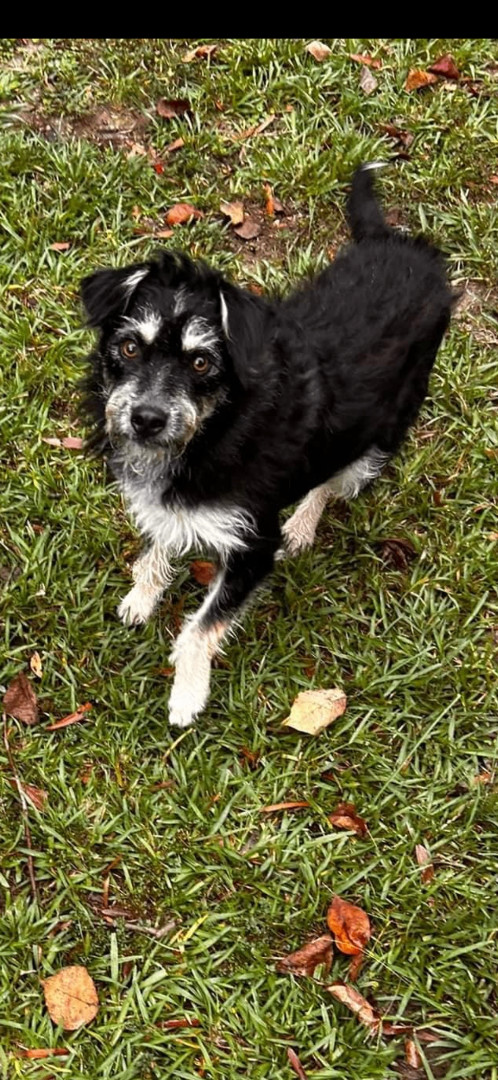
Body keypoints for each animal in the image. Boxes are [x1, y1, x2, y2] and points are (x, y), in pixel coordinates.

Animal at [81, 166, 453, 725]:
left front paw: (187, 695)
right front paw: (143, 595)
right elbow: (158, 544)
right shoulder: (168, 503)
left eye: (201, 362)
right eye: (128, 347)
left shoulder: (254, 544)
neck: (215, 429)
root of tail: (400, 243)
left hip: (382, 432)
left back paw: (303, 523)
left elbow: (202, 627)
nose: (146, 420)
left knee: (333, 478)